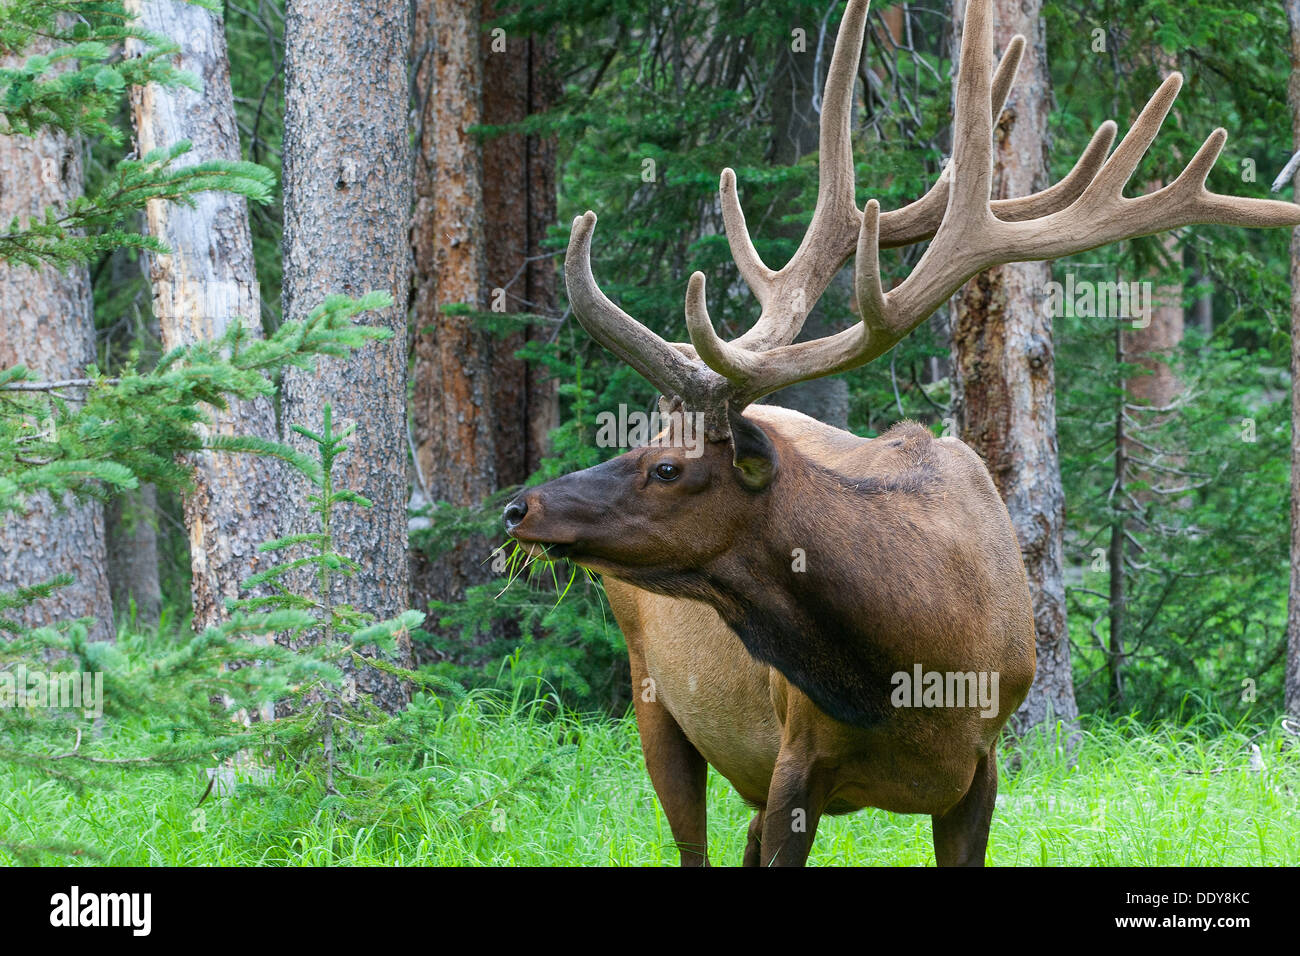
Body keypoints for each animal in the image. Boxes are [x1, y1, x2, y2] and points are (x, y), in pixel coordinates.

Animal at [499, 0, 1300, 868]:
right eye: (640, 447)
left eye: (668, 469)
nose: (519, 506)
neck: (913, 667)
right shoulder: (795, 759)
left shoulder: (980, 769)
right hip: (656, 694)